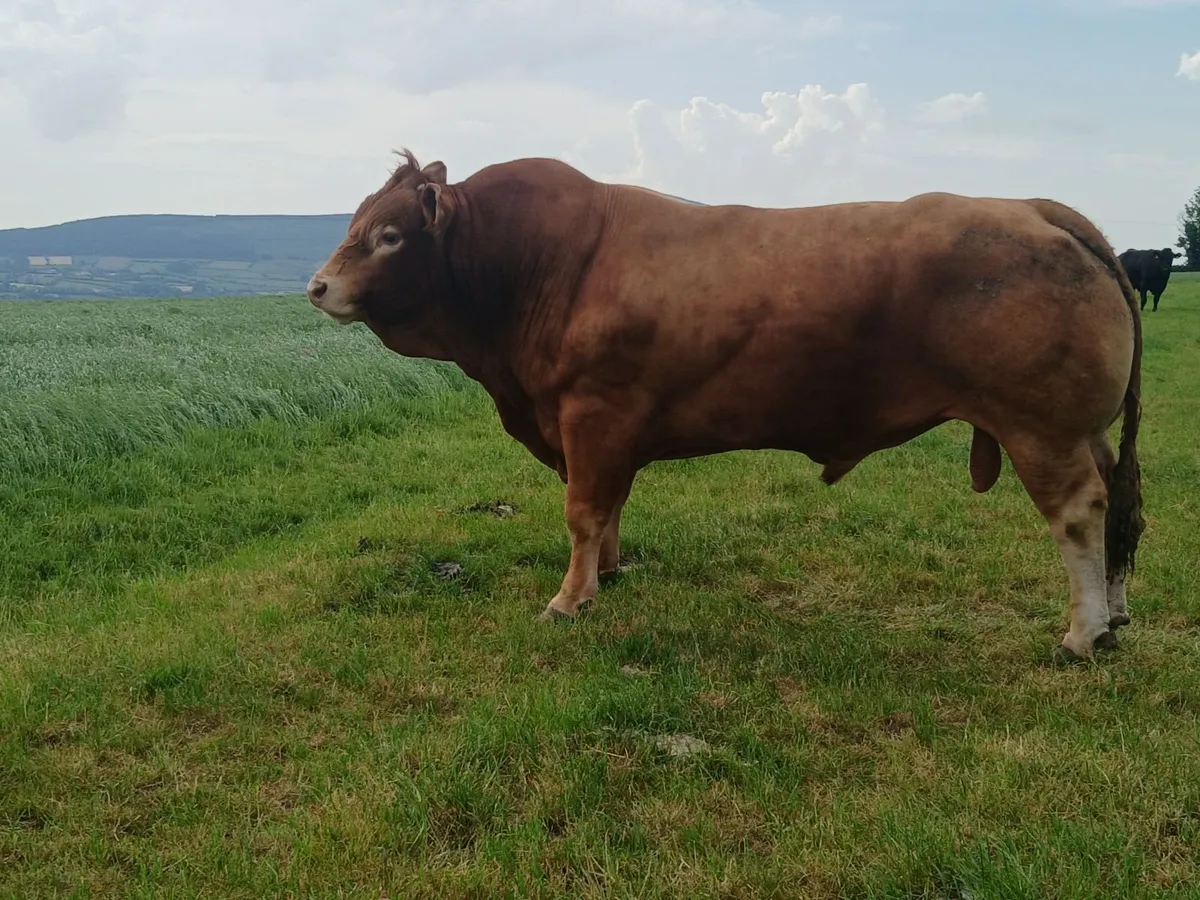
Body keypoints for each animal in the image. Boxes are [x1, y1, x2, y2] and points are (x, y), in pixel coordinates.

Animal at [307, 150, 1145, 663]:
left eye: (389, 235)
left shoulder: (591, 416)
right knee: (1124, 510)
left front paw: (570, 598)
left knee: (1080, 513)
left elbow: (584, 512)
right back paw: (1116, 613)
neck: (536, 267)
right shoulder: (606, 434)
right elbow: (610, 509)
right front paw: (609, 575)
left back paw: (1083, 633)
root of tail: (1034, 207)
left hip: (1043, 428)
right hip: (1086, 431)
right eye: (357, 222)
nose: (317, 286)